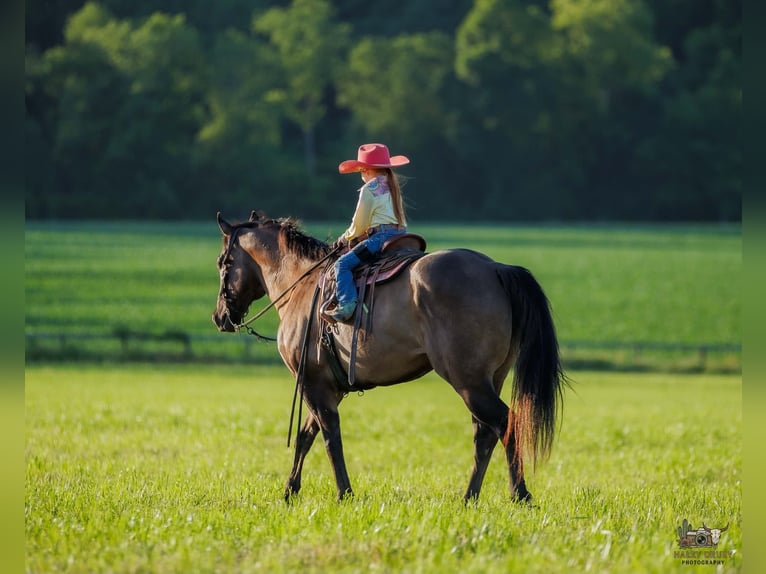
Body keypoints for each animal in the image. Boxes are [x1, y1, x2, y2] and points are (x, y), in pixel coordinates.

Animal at [212, 211, 567, 503]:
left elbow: (329, 437)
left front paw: (343, 492)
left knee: (506, 424)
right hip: (490, 380)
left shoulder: (313, 384)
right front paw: (290, 490)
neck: (302, 287)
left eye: (223, 263)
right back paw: (470, 497)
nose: (219, 318)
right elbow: (306, 436)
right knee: (485, 435)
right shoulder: (329, 388)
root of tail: (496, 269)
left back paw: (520, 494)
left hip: (470, 383)